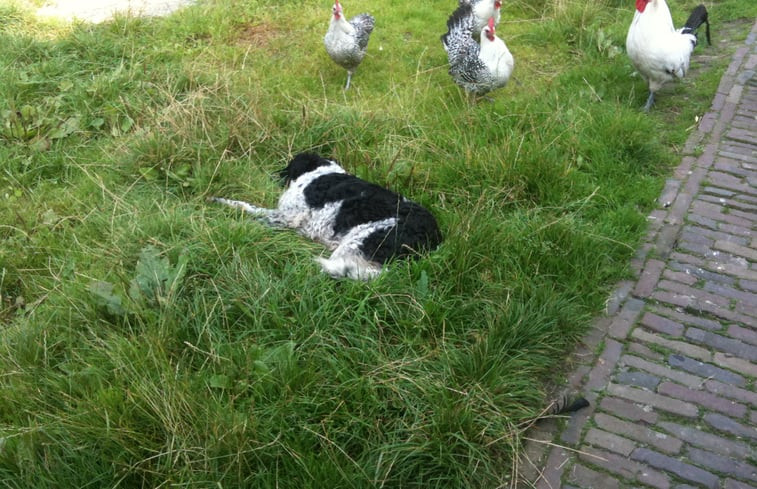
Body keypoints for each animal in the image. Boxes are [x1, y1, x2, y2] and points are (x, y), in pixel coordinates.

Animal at [210, 151, 440, 280]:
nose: (274, 175)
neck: (318, 173)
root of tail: (434, 237)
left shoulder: (286, 217)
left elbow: (247, 207)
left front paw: (221, 204)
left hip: (357, 242)